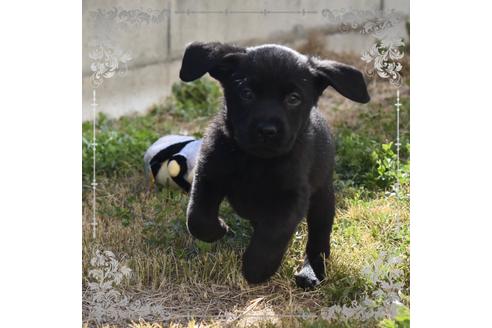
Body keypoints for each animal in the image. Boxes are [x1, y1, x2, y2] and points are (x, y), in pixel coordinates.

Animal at [181, 42, 368, 288]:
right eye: (247, 93)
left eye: (293, 98)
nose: (267, 130)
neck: (254, 161)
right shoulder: (208, 174)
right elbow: (197, 217)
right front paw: (218, 229)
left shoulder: (292, 197)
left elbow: (272, 235)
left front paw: (256, 269)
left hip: (323, 199)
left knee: (319, 239)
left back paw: (311, 272)